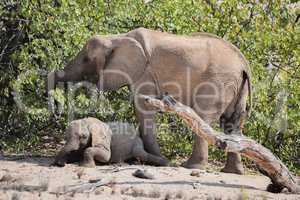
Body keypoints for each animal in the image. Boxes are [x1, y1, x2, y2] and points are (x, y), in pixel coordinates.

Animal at [48, 27, 251, 174]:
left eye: (86, 59)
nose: (56, 110)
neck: (117, 38)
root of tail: (244, 63)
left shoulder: (144, 73)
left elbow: (143, 108)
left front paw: (160, 161)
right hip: (236, 85)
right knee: (233, 122)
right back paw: (233, 172)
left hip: (217, 82)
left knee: (203, 117)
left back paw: (191, 167)